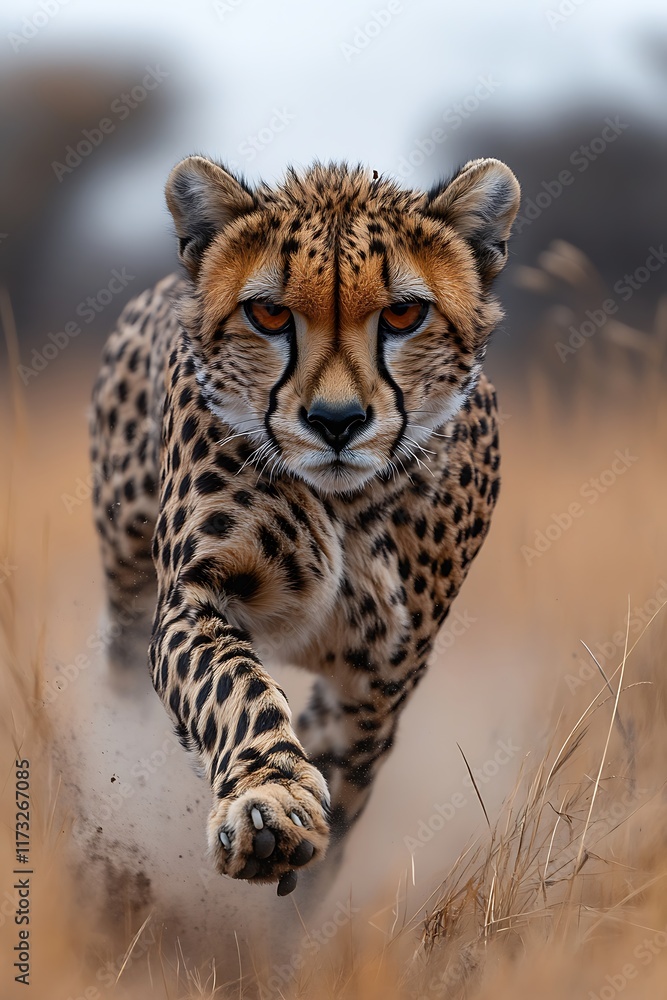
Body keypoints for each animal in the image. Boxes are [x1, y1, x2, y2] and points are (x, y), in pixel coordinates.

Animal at [89, 155, 520, 897]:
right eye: (267, 314)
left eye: (404, 313)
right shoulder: (196, 593)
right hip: (125, 579)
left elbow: (345, 779)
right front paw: (269, 803)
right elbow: (235, 688)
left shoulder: (381, 676)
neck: (344, 504)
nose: (336, 421)